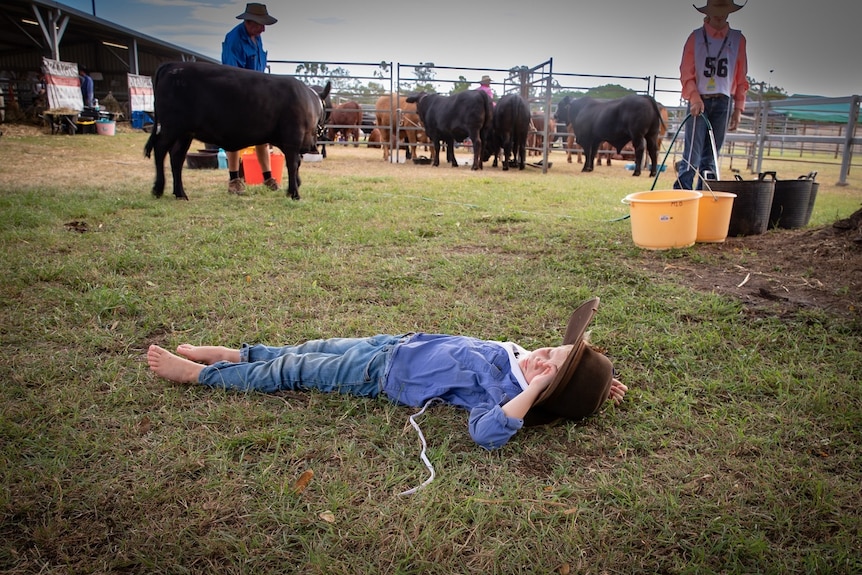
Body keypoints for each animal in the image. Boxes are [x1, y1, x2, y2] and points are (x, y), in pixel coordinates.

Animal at [145, 62, 330, 201]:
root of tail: (173, 65)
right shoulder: (293, 137)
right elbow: (293, 164)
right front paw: (294, 193)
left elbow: (295, 164)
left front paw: (294, 187)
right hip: (171, 126)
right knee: (160, 150)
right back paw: (158, 188)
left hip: (184, 132)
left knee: (176, 157)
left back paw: (180, 193)